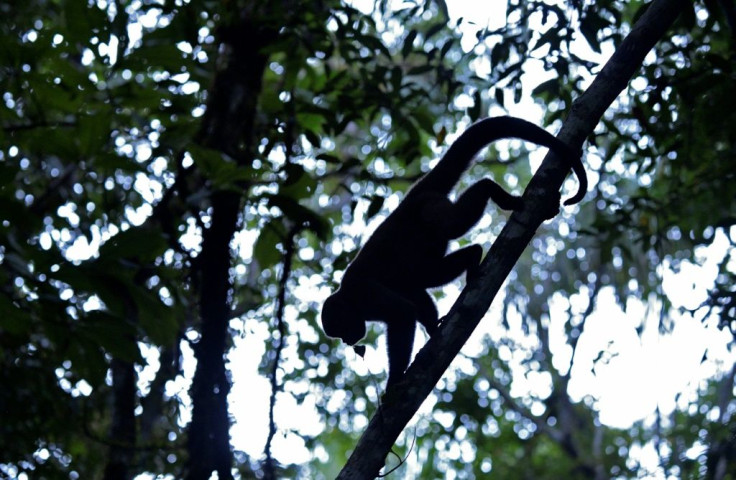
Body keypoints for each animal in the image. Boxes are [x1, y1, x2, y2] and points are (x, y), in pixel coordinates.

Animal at [322, 117, 588, 390]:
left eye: (340, 328)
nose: (347, 341)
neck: (348, 297)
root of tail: (409, 199)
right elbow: (416, 297)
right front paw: (432, 327)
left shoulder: (365, 294)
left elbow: (403, 313)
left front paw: (393, 381)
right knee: (423, 274)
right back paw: (472, 255)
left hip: (430, 208)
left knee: (455, 225)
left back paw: (493, 199)